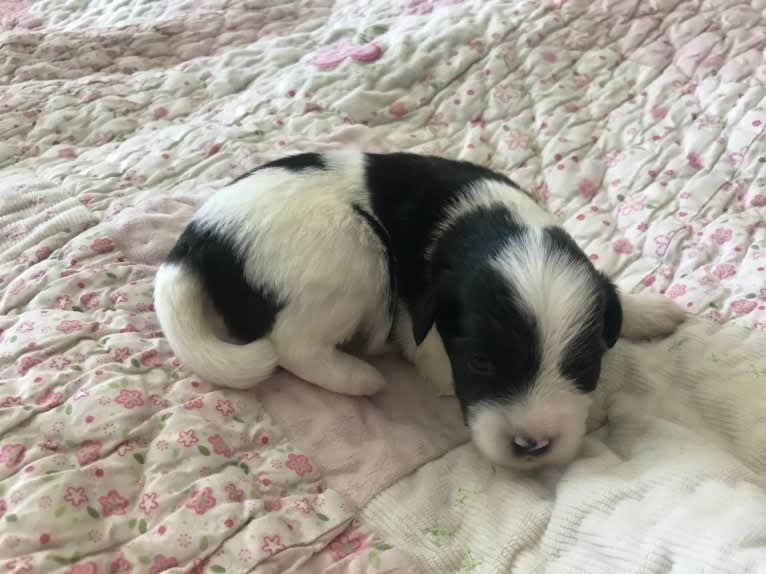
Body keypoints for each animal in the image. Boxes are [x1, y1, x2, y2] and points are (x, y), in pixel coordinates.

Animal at [153, 151, 688, 470]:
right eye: (480, 363)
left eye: (584, 365)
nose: (532, 446)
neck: (492, 222)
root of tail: (197, 239)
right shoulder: (419, 319)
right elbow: (426, 348)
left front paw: (646, 310)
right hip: (354, 249)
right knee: (289, 345)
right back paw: (359, 376)